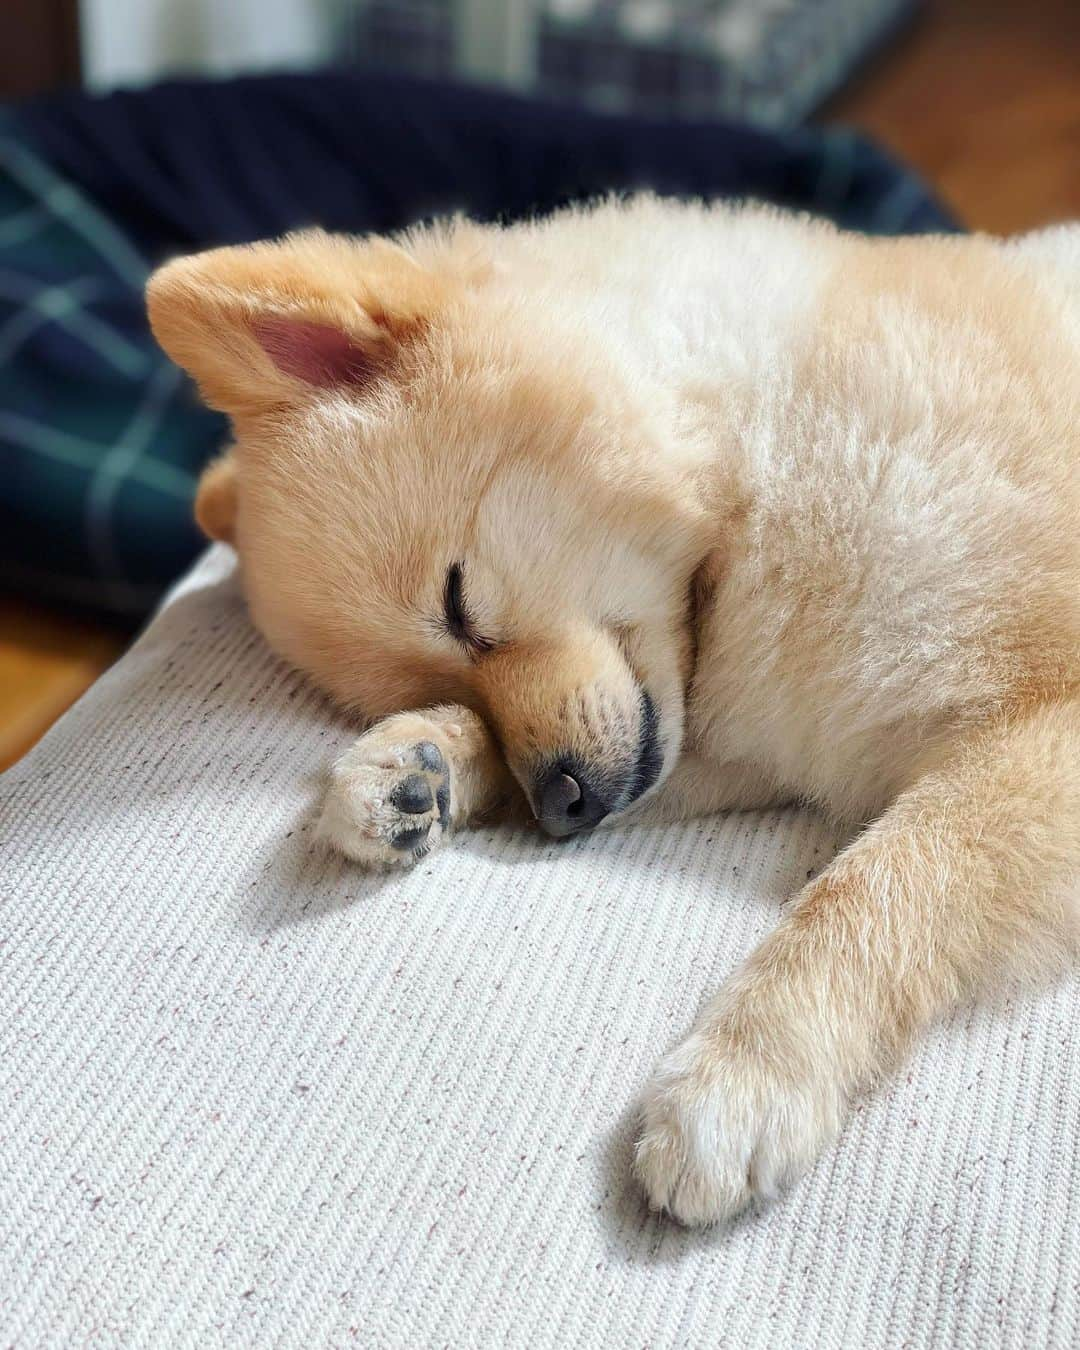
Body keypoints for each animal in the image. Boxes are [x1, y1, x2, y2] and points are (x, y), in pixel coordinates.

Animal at [145, 197, 1080, 1225]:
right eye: (445, 683)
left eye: (461, 607)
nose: (560, 806)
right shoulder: (748, 742)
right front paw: (413, 766)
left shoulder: (1034, 723)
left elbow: (877, 886)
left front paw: (747, 1072)